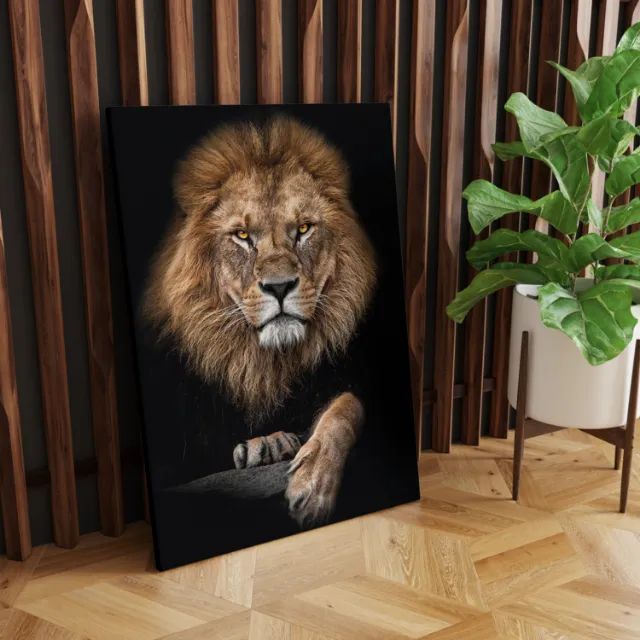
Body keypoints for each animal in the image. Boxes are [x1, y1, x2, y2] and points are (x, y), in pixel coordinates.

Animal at [143, 116, 377, 526]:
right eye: (242, 236)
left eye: (303, 229)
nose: (279, 287)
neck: (265, 365)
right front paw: (267, 445)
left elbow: (346, 408)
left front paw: (312, 483)